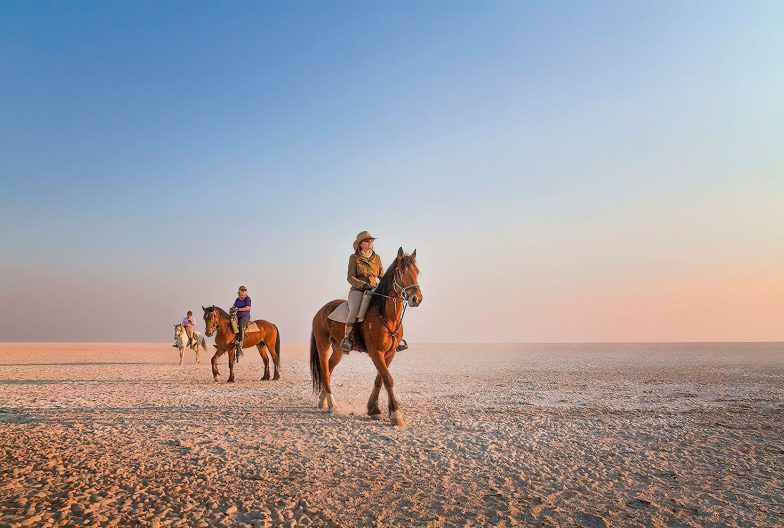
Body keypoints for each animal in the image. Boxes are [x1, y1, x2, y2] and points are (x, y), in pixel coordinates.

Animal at [310, 246, 422, 424]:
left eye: (417, 271)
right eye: (402, 271)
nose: (416, 298)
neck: (386, 315)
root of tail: (320, 311)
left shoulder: (389, 353)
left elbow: (380, 379)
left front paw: (374, 409)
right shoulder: (376, 352)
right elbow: (388, 379)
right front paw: (396, 415)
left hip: (338, 350)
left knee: (329, 367)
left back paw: (323, 401)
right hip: (323, 346)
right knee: (325, 370)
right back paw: (333, 405)